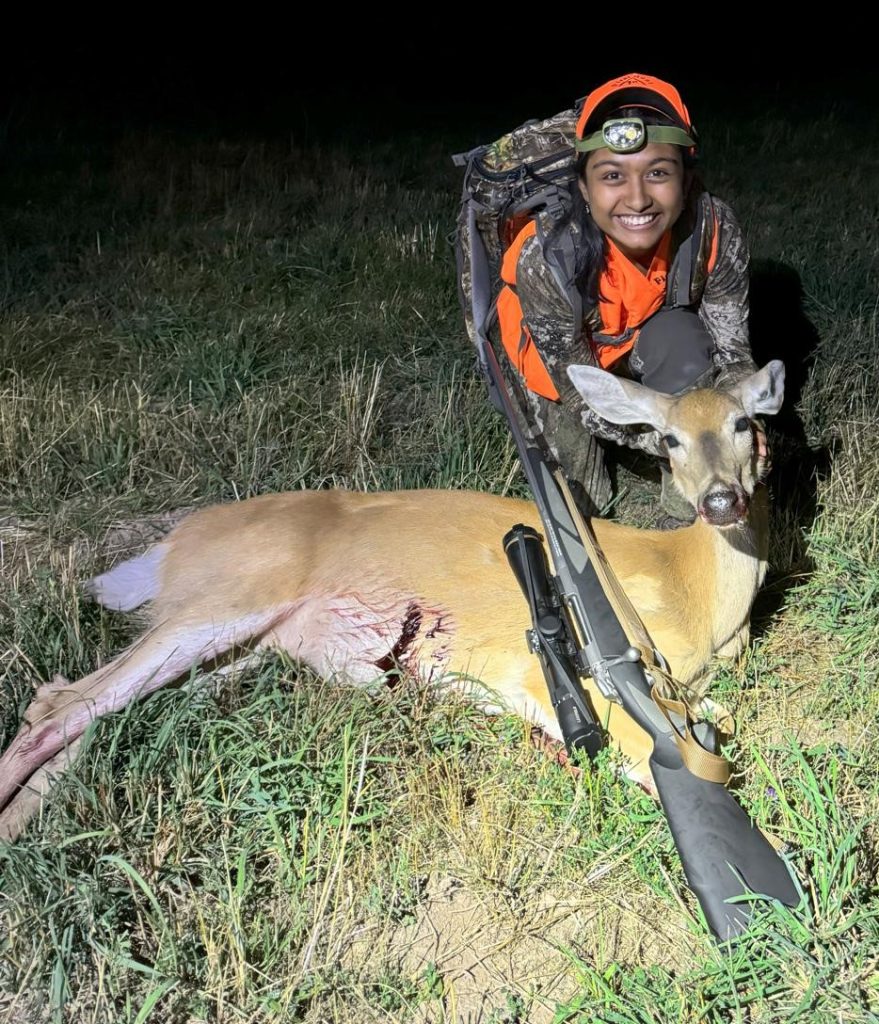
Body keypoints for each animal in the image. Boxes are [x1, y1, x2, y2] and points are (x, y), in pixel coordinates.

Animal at [0, 360, 782, 839]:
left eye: (745, 424)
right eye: (668, 439)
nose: (721, 500)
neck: (692, 591)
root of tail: (172, 544)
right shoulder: (547, 678)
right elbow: (669, 758)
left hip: (244, 651)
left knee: (81, 710)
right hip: (225, 599)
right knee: (62, 706)